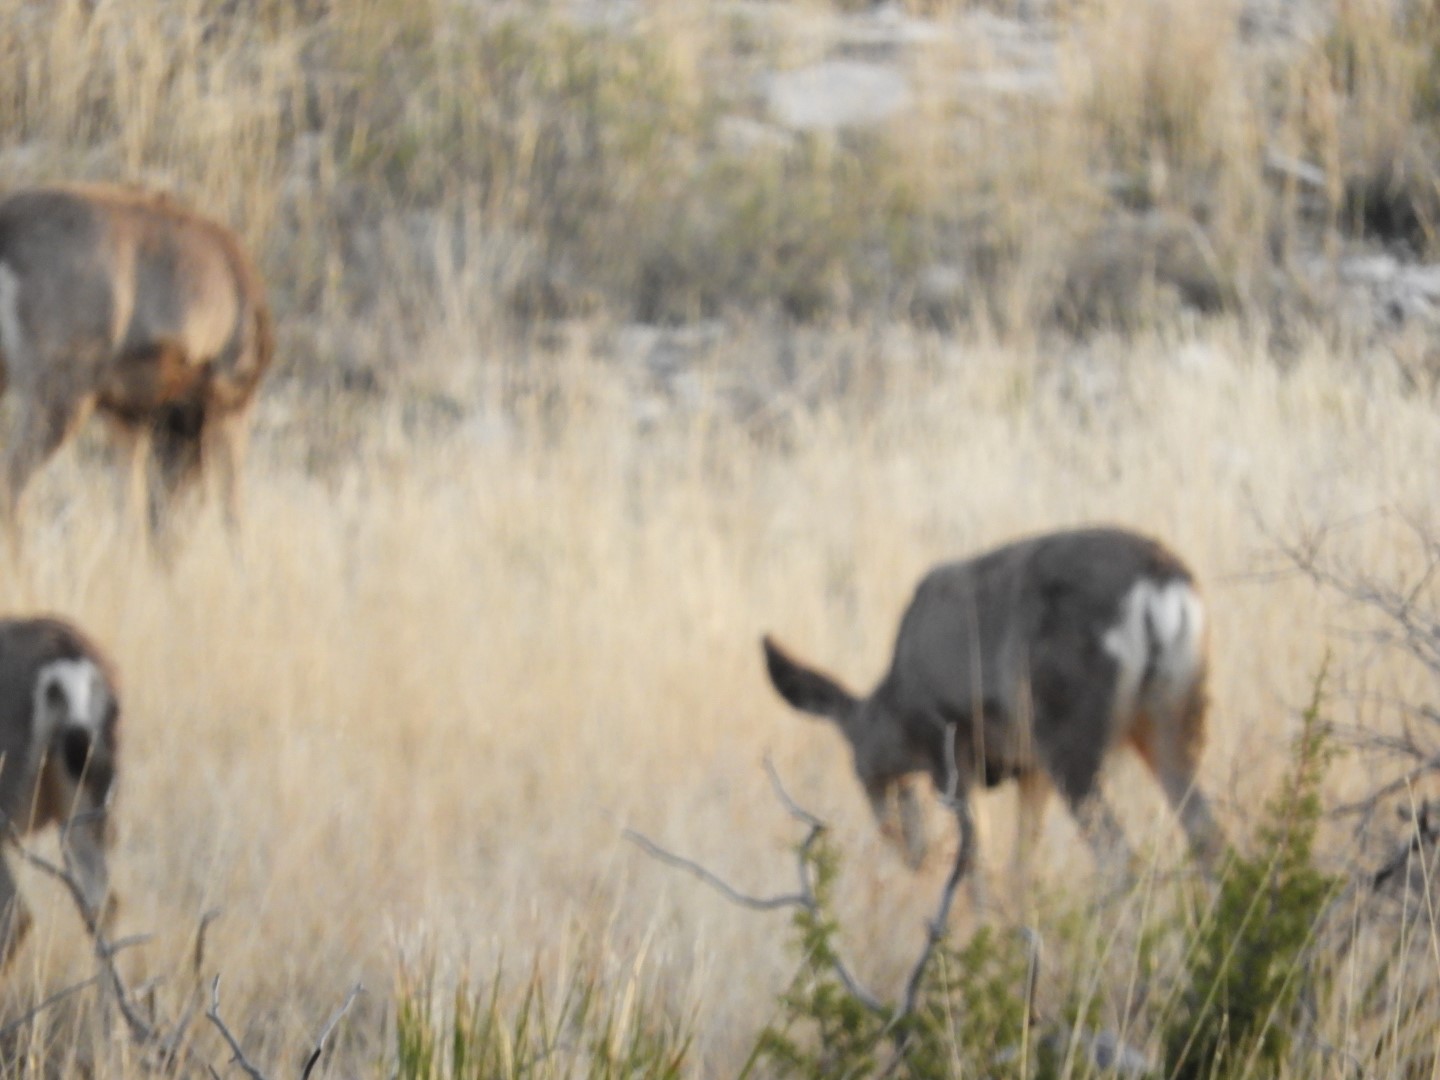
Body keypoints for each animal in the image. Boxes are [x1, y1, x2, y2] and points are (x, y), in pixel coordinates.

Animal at [0, 183, 274, 556]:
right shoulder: (227, 398)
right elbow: (232, 513)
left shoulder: (128, 416)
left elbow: (131, 512)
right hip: (60, 383)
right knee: (13, 479)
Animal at [762, 526, 1225, 893]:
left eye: (862, 776)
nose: (912, 854)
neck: (899, 699)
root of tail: (1161, 584)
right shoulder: (1030, 767)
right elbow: (1021, 864)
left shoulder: (949, 752)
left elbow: (976, 866)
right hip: (1175, 717)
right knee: (1208, 837)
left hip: (1070, 731)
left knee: (1116, 855)